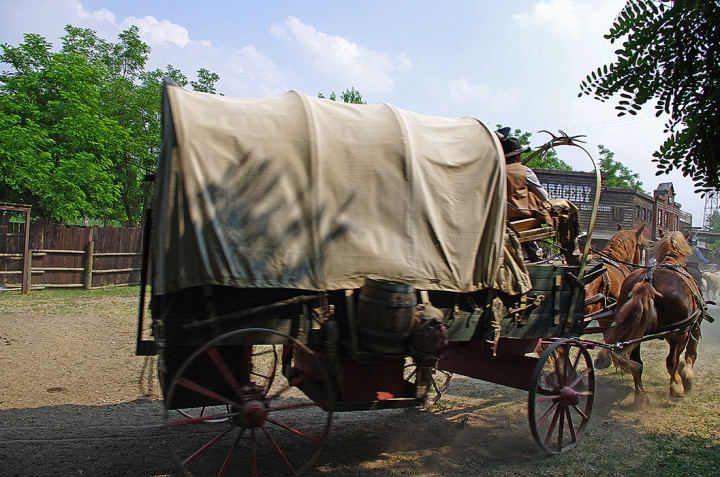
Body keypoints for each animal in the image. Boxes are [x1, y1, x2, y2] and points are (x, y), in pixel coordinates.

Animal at [592, 231, 704, 406]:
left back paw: (641, 396)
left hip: (636, 333)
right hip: (678, 333)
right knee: (670, 361)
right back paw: (676, 388)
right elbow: (690, 354)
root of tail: (646, 283)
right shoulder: (693, 326)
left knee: (637, 363)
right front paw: (686, 377)